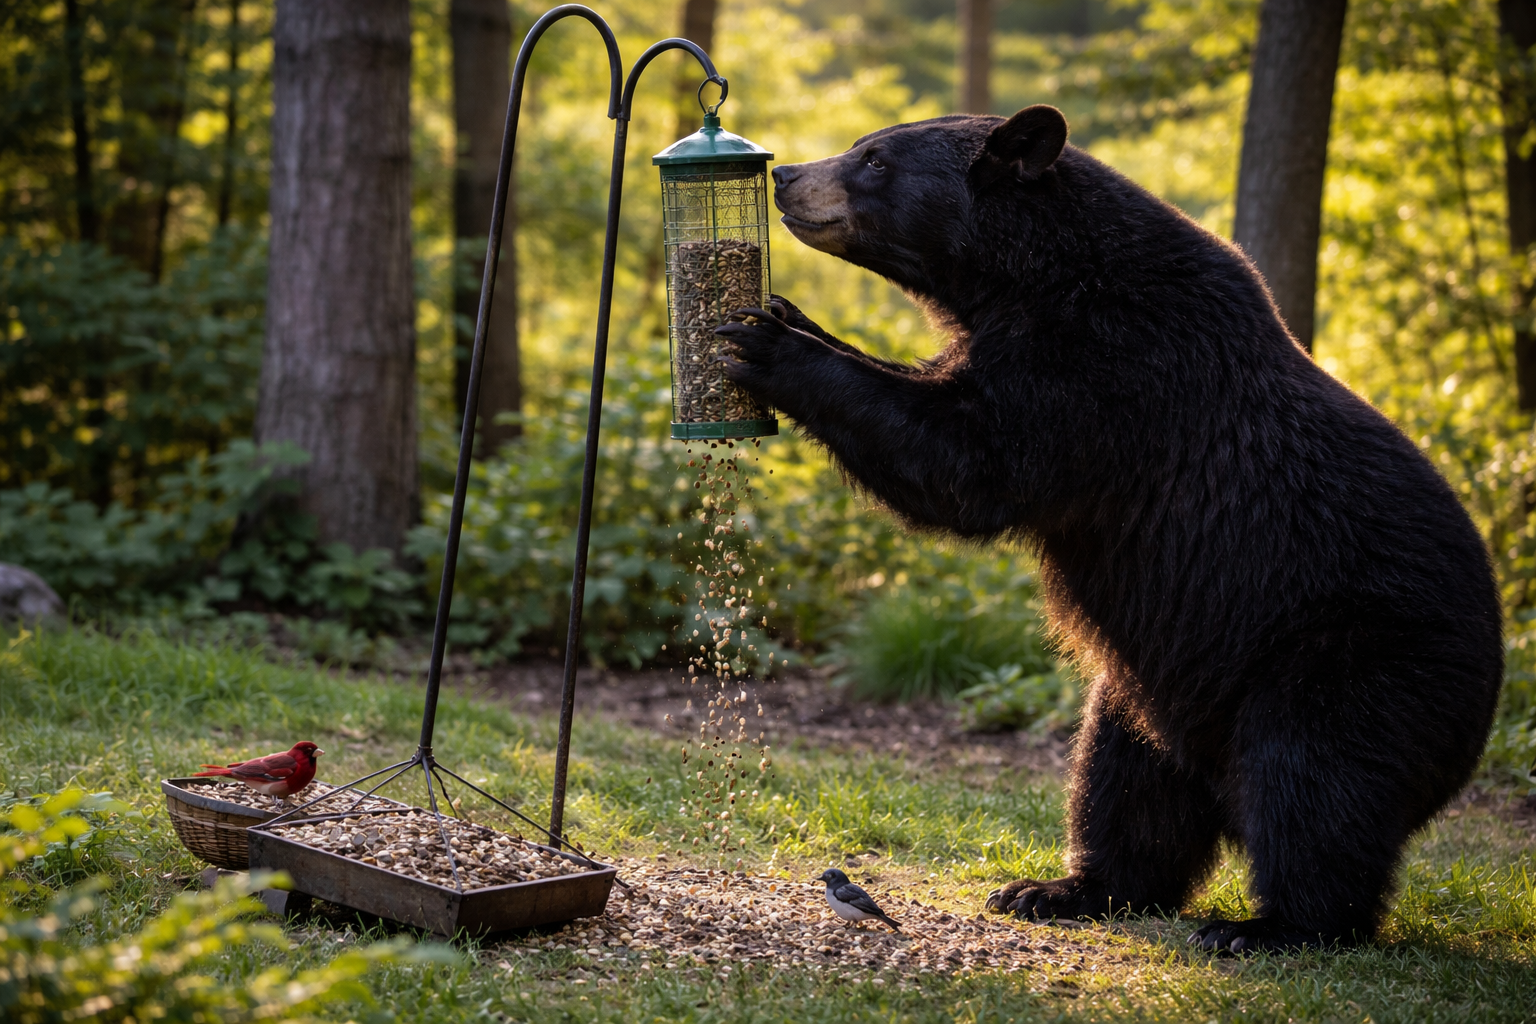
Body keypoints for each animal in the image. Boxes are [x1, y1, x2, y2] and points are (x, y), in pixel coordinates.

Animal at [715, 105, 1504, 953]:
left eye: (874, 160)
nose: (787, 176)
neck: (1035, 278)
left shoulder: (1113, 371)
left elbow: (968, 459)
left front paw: (768, 343)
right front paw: (786, 313)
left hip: (1353, 661)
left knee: (1314, 784)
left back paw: (1268, 926)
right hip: (1153, 691)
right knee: (1124, 783)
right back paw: (1061, 887)